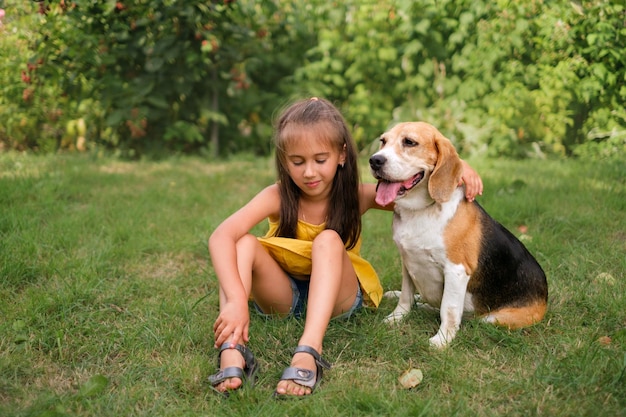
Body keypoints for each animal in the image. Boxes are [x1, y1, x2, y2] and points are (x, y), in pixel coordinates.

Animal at [368, 121, 544, 348]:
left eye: (409, 142)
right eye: (383, 141)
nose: (375, 160)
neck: (421, 210)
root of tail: (545, 295)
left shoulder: (456, 270)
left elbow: (449, 309)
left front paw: (442, 340)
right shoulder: (407, 261)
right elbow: (406, 297)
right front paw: (396, 318)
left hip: (493, 318)